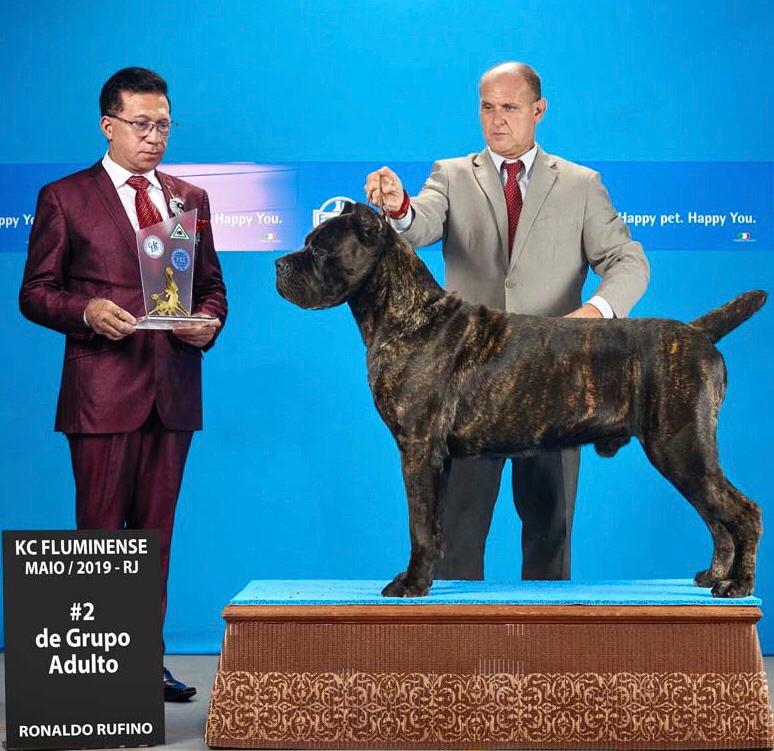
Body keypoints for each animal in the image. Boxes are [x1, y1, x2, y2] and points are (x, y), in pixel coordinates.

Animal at [276, 202, 765, 599]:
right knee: (716, 518)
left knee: (743, 512)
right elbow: (434, 525)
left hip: (681, 447)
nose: (280, 264)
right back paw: (714, 575)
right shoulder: (437, 458)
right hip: (683, 454)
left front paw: (411, 584)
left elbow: (418, 524)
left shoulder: (416, 448)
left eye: (320, 250)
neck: (407, 315)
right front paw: (426, 578)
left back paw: (738, 585)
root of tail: (697, 333)